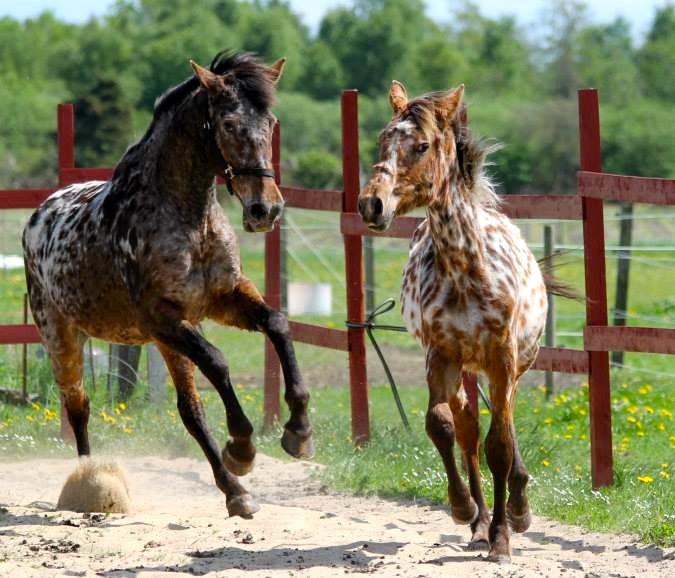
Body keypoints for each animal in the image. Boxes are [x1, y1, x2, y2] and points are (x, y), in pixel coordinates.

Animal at [23, 50, 314, 516]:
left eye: (270, 123)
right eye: (228, 124)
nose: (264, 210)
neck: (188, 219)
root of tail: (40, 213)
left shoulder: (222, 301)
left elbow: (278, 324)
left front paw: (298, 432)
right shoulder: (164, 318)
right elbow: (218, 361)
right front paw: (242, 445)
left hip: (158, 342)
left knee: (187, 410)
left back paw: (235, 491)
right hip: (61, 335)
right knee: (78, 406)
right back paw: (91, 482)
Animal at [362, 82, 564, 564]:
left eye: (421, 145)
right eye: (382, 140)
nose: (371, 204)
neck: (465, 269)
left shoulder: (502, 360)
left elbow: (501, 445)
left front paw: (504, 537)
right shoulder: (442, 355)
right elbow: (442, 426)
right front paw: (464, 509)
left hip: (508, 367)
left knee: (501, 427)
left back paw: (515, 511)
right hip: (466, 371)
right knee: (469, 430)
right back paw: (477, 524)